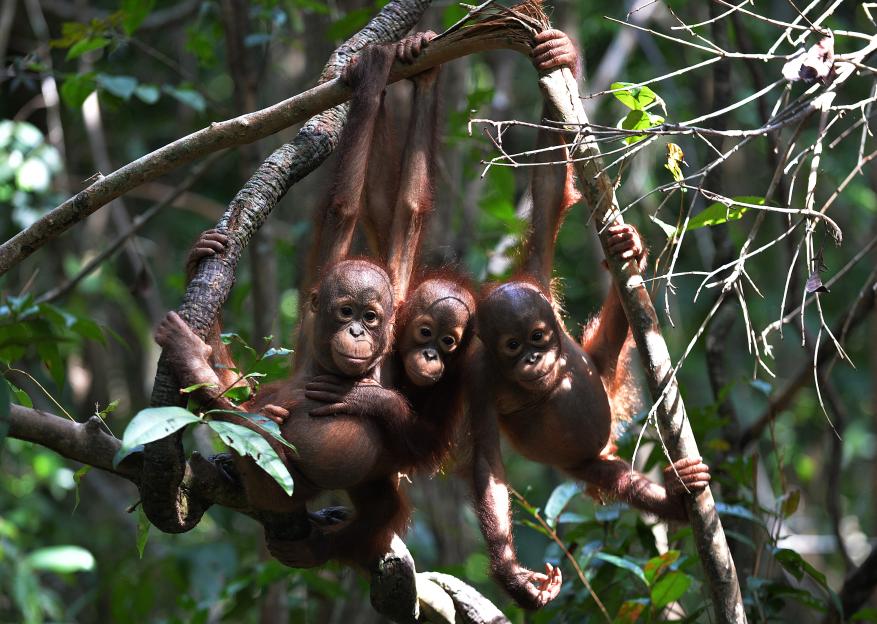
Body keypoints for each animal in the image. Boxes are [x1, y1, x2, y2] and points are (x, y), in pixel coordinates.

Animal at [465, 30, 711, 609]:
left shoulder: (535, 281)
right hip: (584, 462)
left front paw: (556, 55)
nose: (535, 358)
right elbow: (487, 464)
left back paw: (630, 250)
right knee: (618, 479)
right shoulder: (478, 377)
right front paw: (513, 575)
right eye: (512, 347)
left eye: (537, 337)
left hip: (601, 371)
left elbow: (548, 191)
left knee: (616, 329)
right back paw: (675, 496)